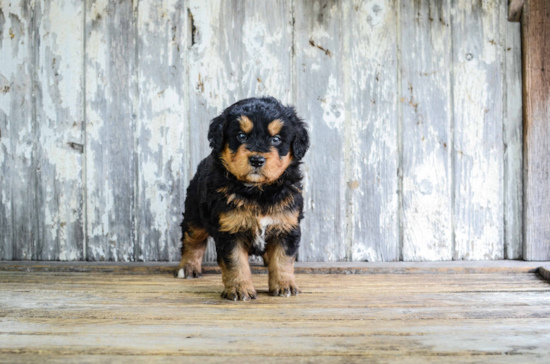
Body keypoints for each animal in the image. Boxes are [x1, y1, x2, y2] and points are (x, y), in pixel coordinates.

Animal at [177, 96, 310, 302]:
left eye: (276, 139)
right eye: (241, 136)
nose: (257, 160)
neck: (258, 191)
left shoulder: (286, 225)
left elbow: (283, 260)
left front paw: (284, 285)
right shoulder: (230, 230)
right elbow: (236, 262)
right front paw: (240, 289)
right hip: (194, 211)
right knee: (193, 239)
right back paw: (189, 267)